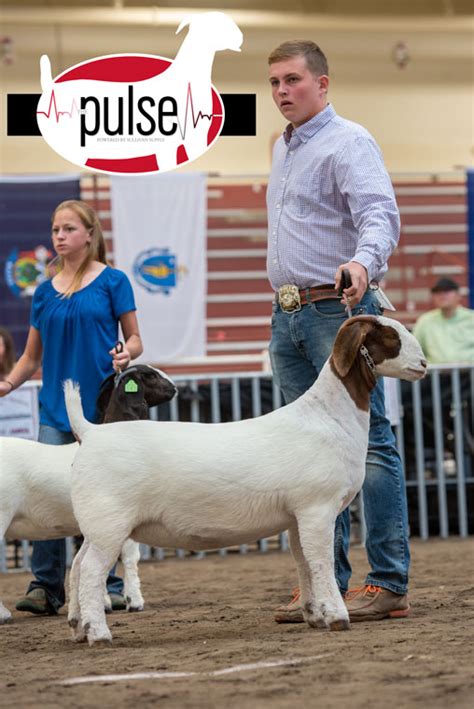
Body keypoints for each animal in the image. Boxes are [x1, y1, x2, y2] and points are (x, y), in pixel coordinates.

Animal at [64, 318, 426, 644]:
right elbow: (321, 562)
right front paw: (337, 617)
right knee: (92, 571)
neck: (329, 418)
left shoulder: (296, 517)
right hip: (109, 523)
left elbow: (303, 563)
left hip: (97, 526)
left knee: (78, 565)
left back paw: (78, 626)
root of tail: (91, 432)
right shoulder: (317, 508)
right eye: (391, 336)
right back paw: (98, 634)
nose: (423, 364)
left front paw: (313, 614)